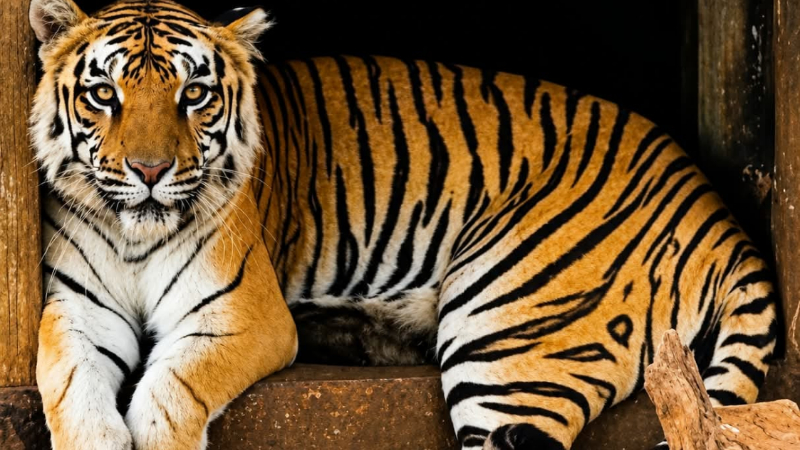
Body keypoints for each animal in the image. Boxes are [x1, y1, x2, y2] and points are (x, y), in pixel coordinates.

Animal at [28, 0, 778, 449]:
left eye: (194, 95)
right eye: (104, 94)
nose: (151, 170)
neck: (137, 234)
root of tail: (724, 219)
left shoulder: (242, 315)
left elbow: (170, 394)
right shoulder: (76, 306)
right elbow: (67, 381)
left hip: (506, 340)